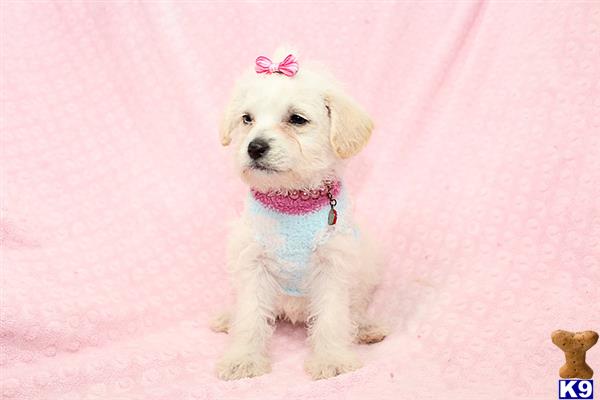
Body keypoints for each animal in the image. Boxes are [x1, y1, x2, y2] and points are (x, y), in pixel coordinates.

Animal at [213, 48, 386, 380]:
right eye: (247, 119)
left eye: (296, 119)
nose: (254, 147)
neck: (290, 200)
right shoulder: (253, 262)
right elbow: (251, 316)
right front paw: (244, 359)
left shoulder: (333, 263)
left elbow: (332, 316)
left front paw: (332, 359)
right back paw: (228, 318)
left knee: (354, 311)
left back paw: (365, 328)